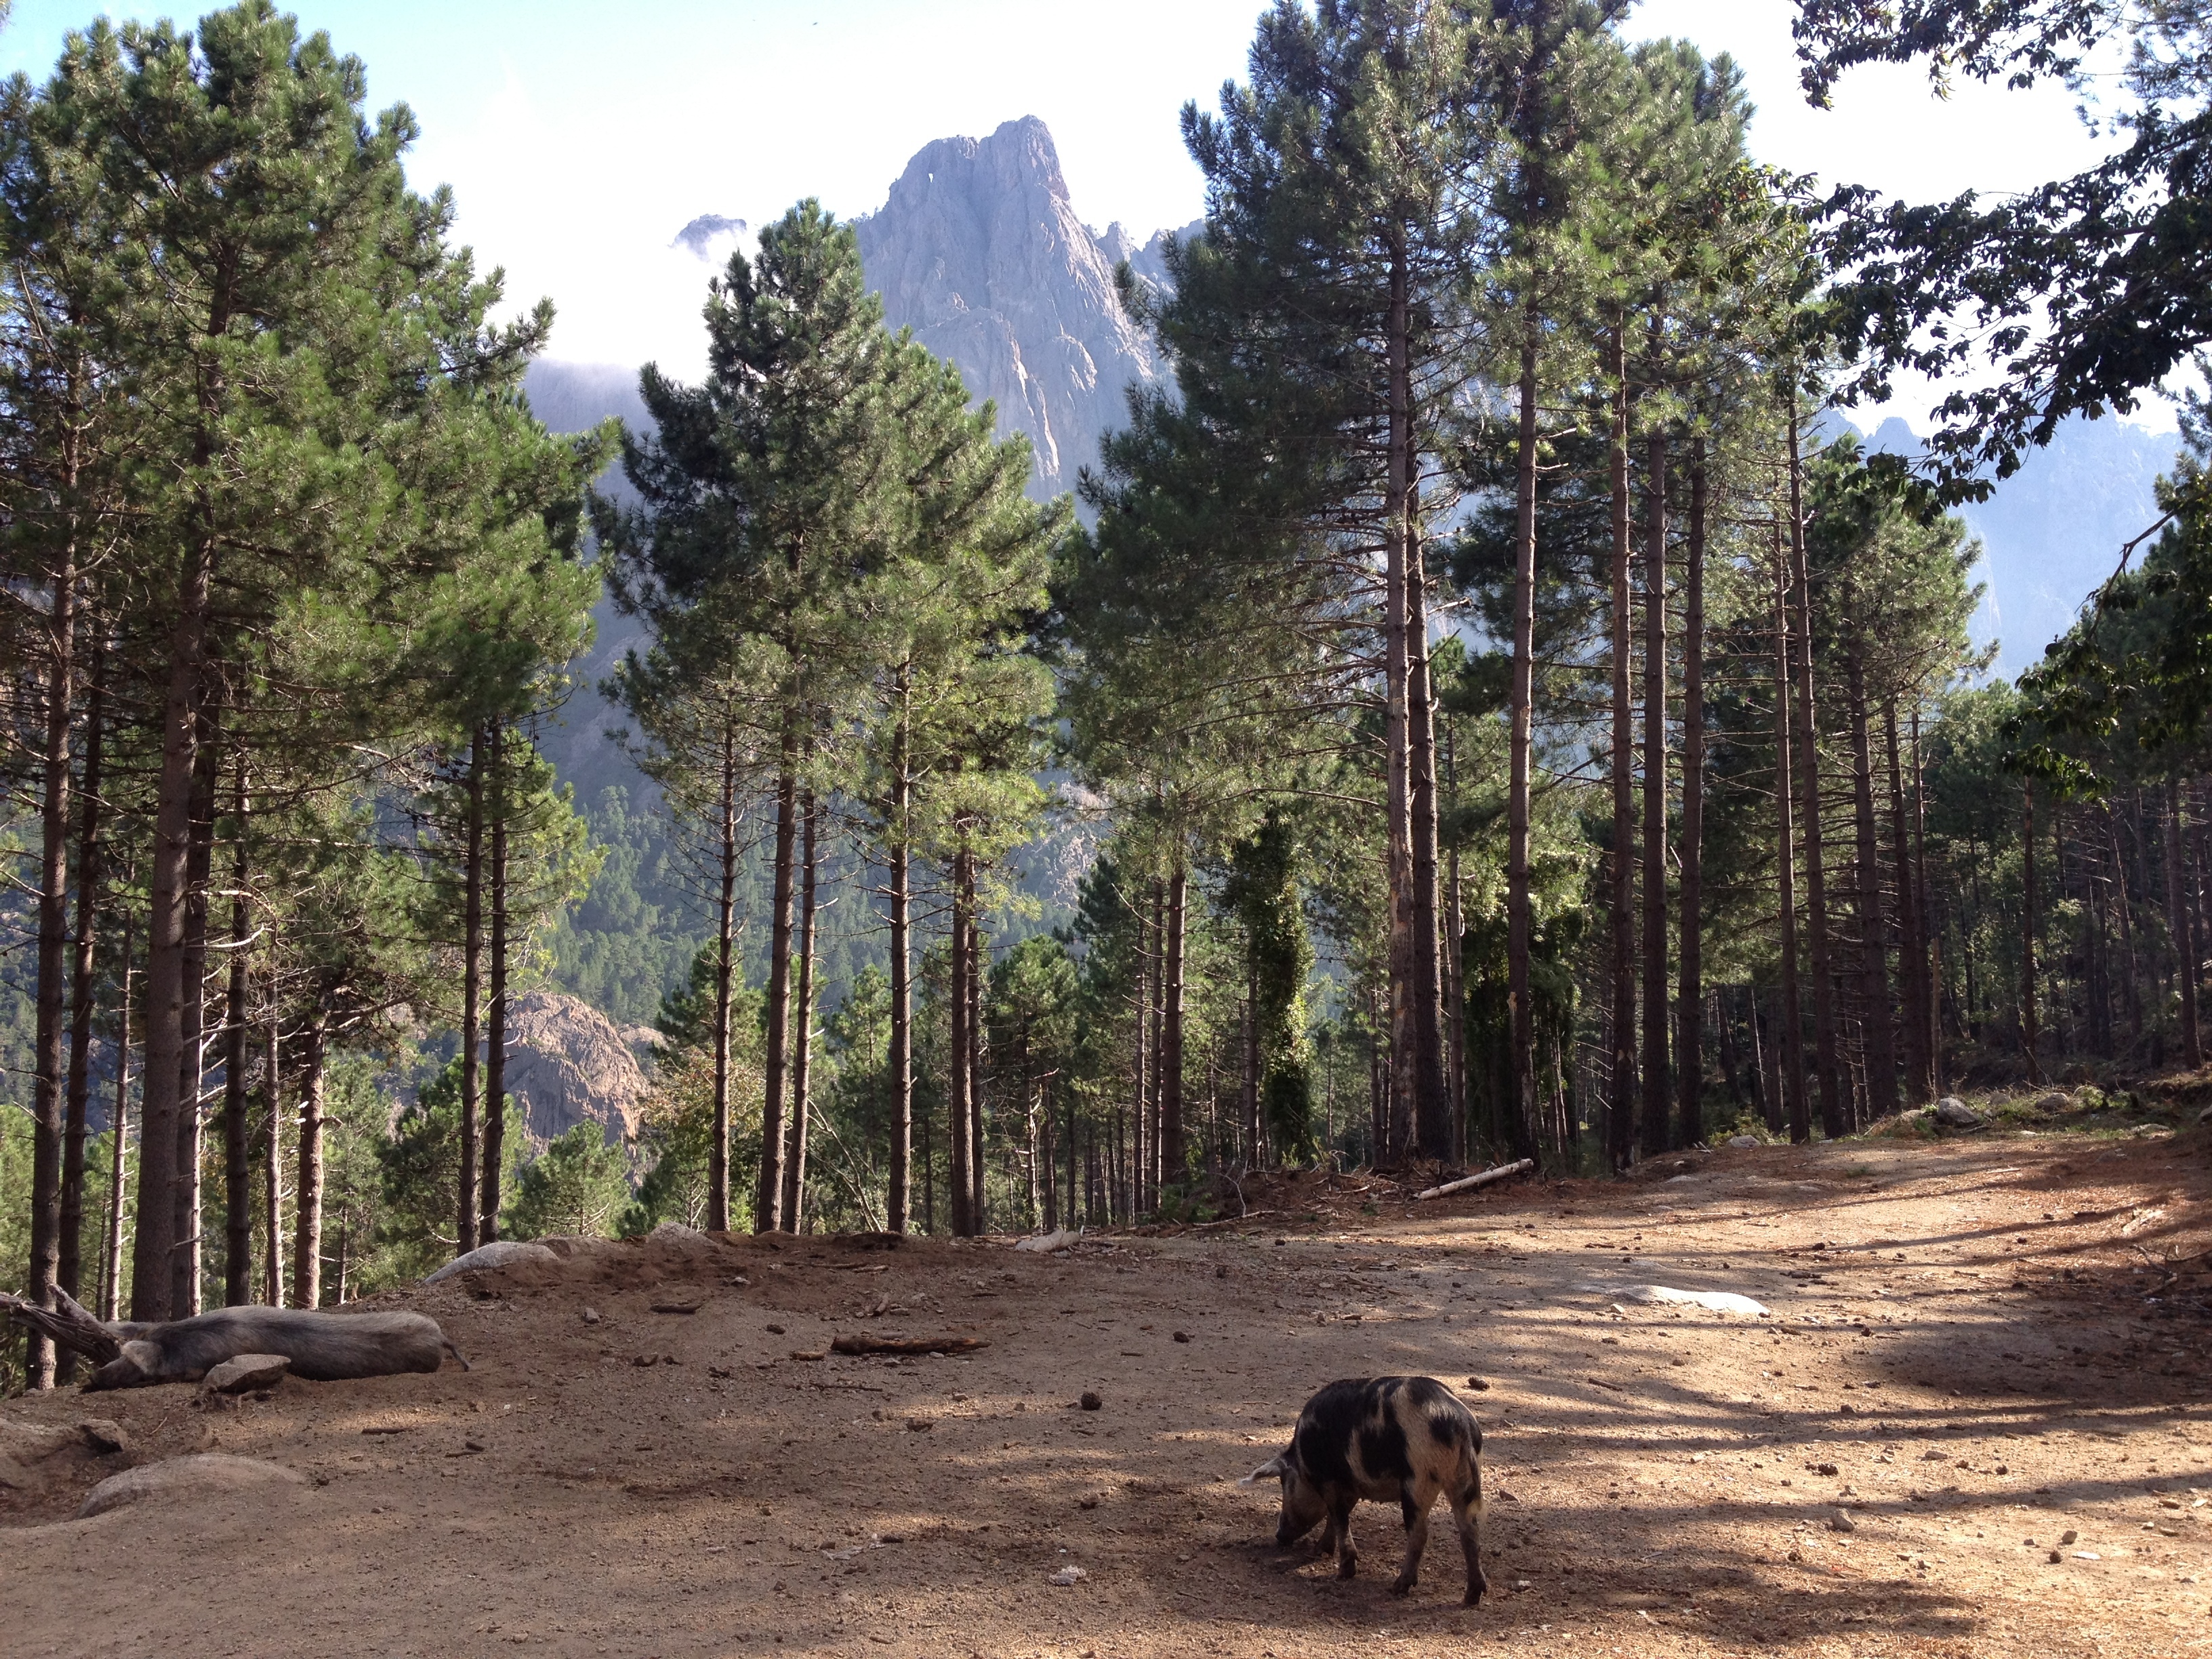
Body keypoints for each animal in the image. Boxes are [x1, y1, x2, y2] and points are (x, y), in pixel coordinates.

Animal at [1247, 1380, 1486, 1610]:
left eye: (1284, 1482)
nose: (1279, 1535)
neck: (1302, 1458)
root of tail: (1460, 1422)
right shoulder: (1351, 1486)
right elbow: (1336, 1518)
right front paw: (1319, 1552)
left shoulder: (1328, 1480)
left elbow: (1339, 1518)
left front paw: (1343, 1573)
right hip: (1463, 1480)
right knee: (1470, 1532)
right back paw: (1472, 1597)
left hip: (1418, 1478)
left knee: (1420, 1533)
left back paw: (1397, 1588)